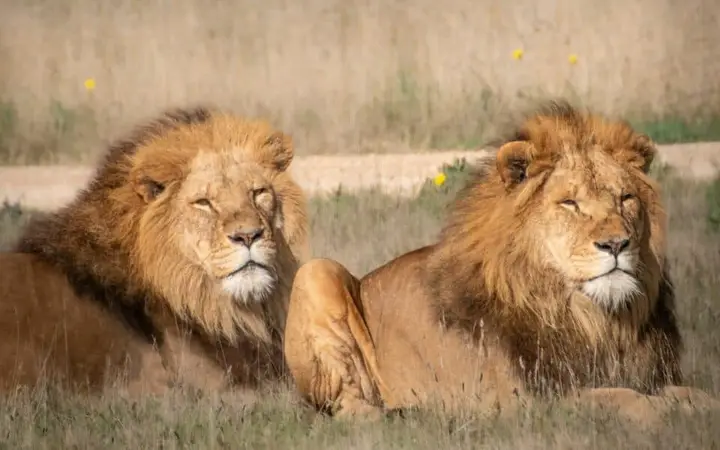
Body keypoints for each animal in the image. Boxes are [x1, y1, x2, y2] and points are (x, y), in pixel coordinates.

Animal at [283, 101, 718, 424]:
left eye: (625, 198)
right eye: (570, 203)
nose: (616, 243)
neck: (595, 319)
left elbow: (690, 393)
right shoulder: (532, 399)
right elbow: (624, 399)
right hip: (315, 273)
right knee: (350, 409)